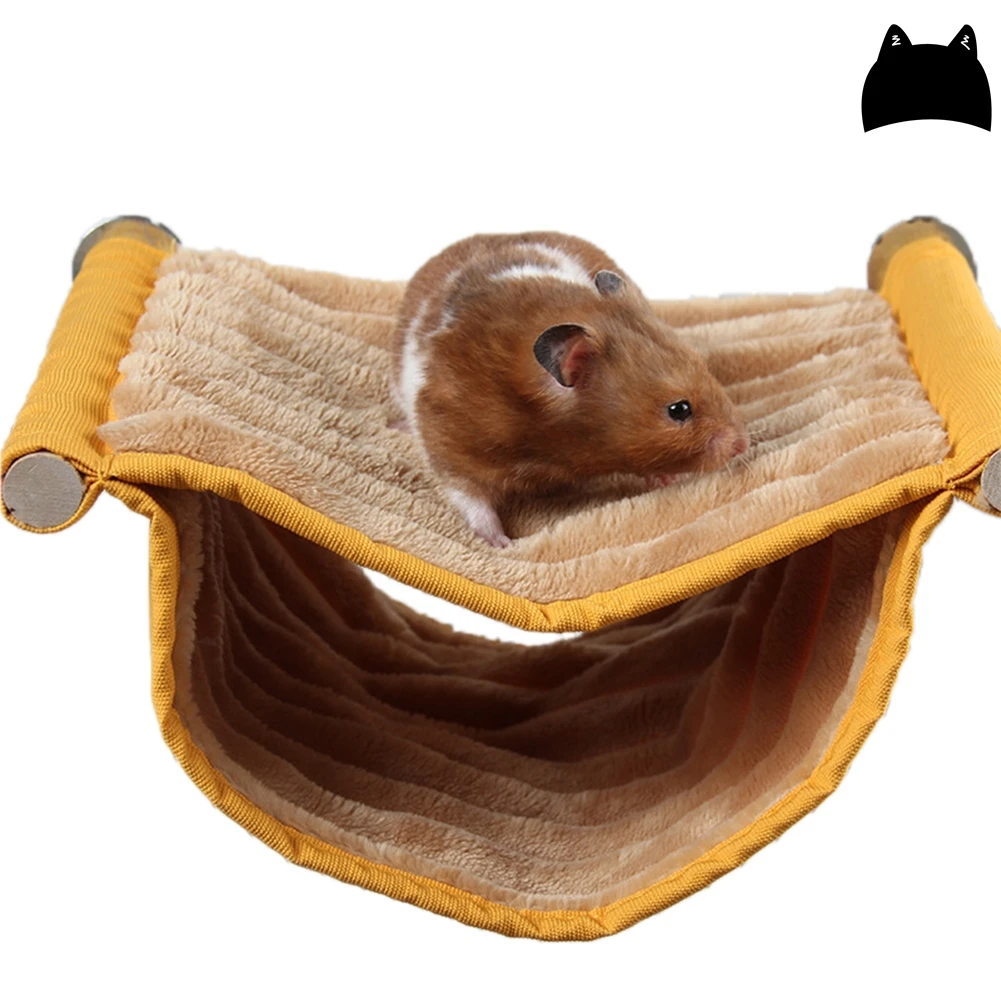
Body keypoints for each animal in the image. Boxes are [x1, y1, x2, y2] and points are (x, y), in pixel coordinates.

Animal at [391, 232, 748, 548]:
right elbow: (471, 497)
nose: (742, 444)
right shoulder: (449, 441)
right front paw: (503, 544)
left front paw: (664, 479)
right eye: (679, 410)